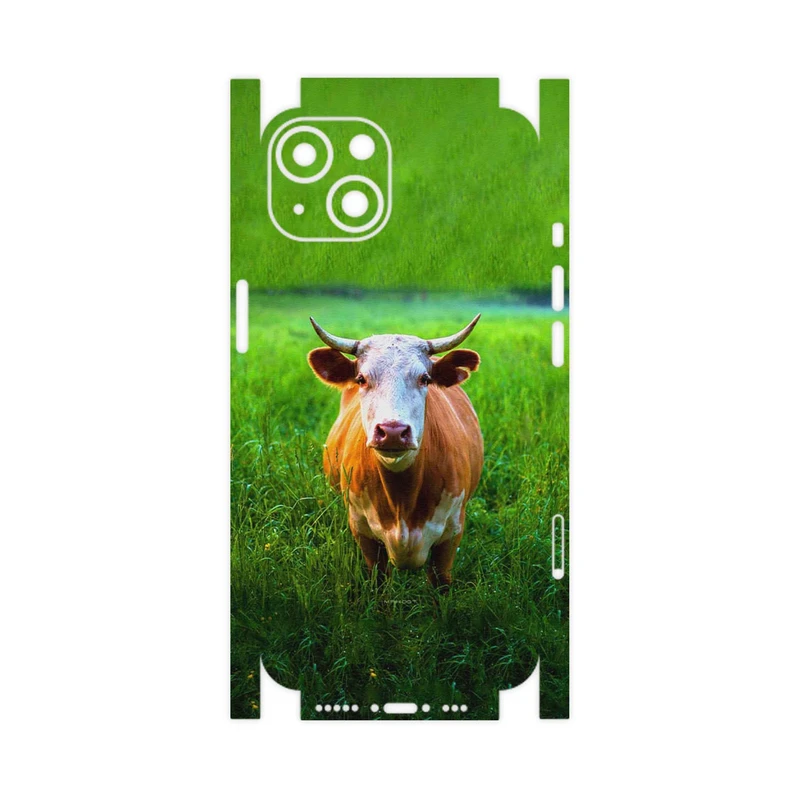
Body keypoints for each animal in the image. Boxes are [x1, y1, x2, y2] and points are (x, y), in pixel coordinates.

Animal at [307, 315, 484, 590]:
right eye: (361, 379)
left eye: (425, 379)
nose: (392, 431)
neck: (403, 499)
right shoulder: (363, 532)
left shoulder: (452, 534)